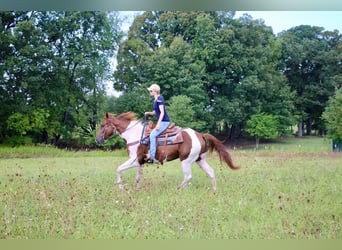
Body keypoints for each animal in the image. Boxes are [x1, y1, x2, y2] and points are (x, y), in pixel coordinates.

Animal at [95, 111, 240, 189]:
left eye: (102, 125)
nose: (97, 140)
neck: (135, 135)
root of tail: (200, 135)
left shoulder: (134, 160)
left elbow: (118, 169)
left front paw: (121, 187)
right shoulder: (140, 163)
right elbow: (137, 177)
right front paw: (136, 189)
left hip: (186, 160)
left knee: (188, 176)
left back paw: (178, 189)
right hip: (200, 160)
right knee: (210, 172)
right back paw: (214, 190)